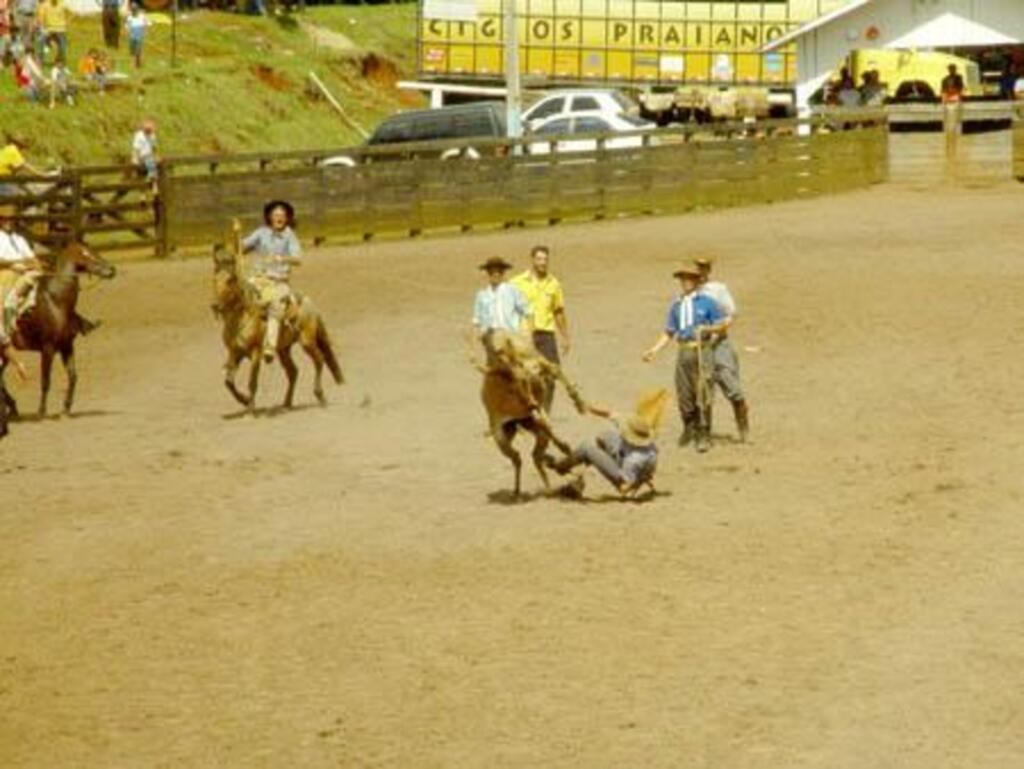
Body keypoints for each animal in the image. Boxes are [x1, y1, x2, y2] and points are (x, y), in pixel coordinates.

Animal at [5, 243, 116, 417]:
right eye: (87, 253)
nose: (112, 269)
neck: (56, 301)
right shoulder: (47, 348)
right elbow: (45, 380)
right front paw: (42, 411)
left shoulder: (67, 346)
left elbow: (73, 376)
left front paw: (66, 408)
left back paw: (12, 408)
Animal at [210, 246, 344, 415]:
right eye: (214, 279)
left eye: (230, 280)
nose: (215, 305)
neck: (242, 318)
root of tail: (309, 303)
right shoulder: (234, 353)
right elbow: (228, 382)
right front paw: (245, 400)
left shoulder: (255, 353)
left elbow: (252, 381)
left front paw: (250, 409)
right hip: (283, 350)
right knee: (293, 372)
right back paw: (286, 403)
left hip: (307, 341)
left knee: (319, 360)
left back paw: (320, 396)